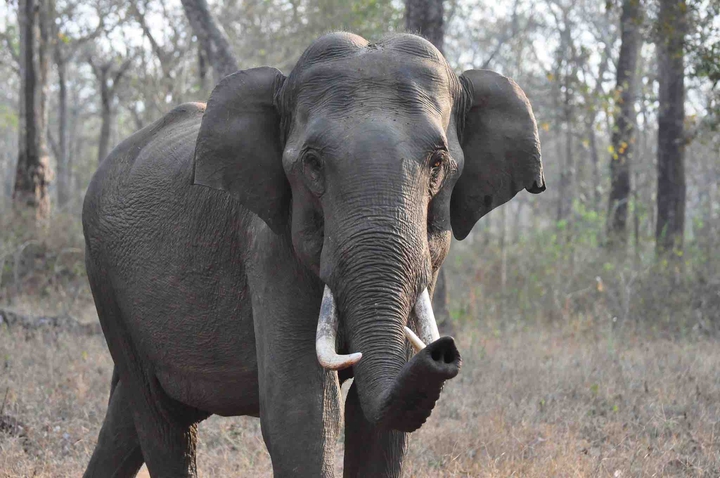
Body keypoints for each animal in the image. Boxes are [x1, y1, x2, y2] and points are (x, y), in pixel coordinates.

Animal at [81, 32, 545, 478]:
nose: (444, 351)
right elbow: (303, 412)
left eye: (437, 164)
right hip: (103, 277)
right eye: (313, 163)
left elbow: (376, 422)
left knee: (128, 417)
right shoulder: (269, 248)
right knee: (162, 420)